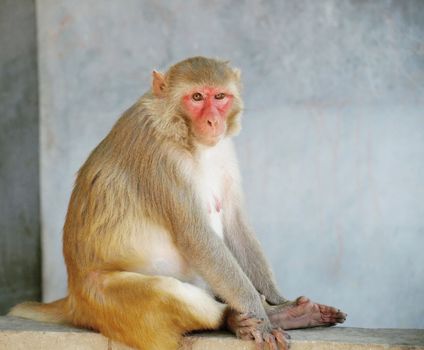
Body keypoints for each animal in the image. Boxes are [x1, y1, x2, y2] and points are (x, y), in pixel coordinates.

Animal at [9, 57, 346, 350]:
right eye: (196, 97)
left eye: (219, 96)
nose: (212, 120)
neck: (181, 132)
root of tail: (73, 299)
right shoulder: (159, 156)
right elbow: (194, 235)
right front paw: (260, 318)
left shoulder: (224, 149)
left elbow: (235, 224)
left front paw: (277, 300)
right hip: (104, 302)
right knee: (165, 292)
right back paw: (234, 319)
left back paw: (284, 313)